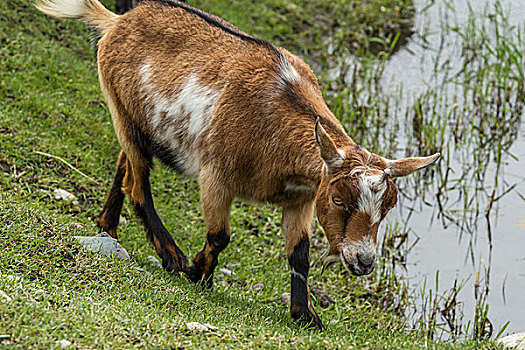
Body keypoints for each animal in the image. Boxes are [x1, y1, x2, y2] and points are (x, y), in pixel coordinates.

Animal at [34, 0, 440, 330]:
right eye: (339, 200)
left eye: (387, 207)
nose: (363, 261)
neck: (274, 121)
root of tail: (118, 21)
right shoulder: (216, 176)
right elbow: (220, 235)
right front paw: (198, 273)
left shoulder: (301, 199)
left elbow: (300, 253)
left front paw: (306, 316)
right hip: (120, 111)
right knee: (137, 184)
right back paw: (171, 256)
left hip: (136, 123)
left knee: (125, 168)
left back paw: (107, 227)